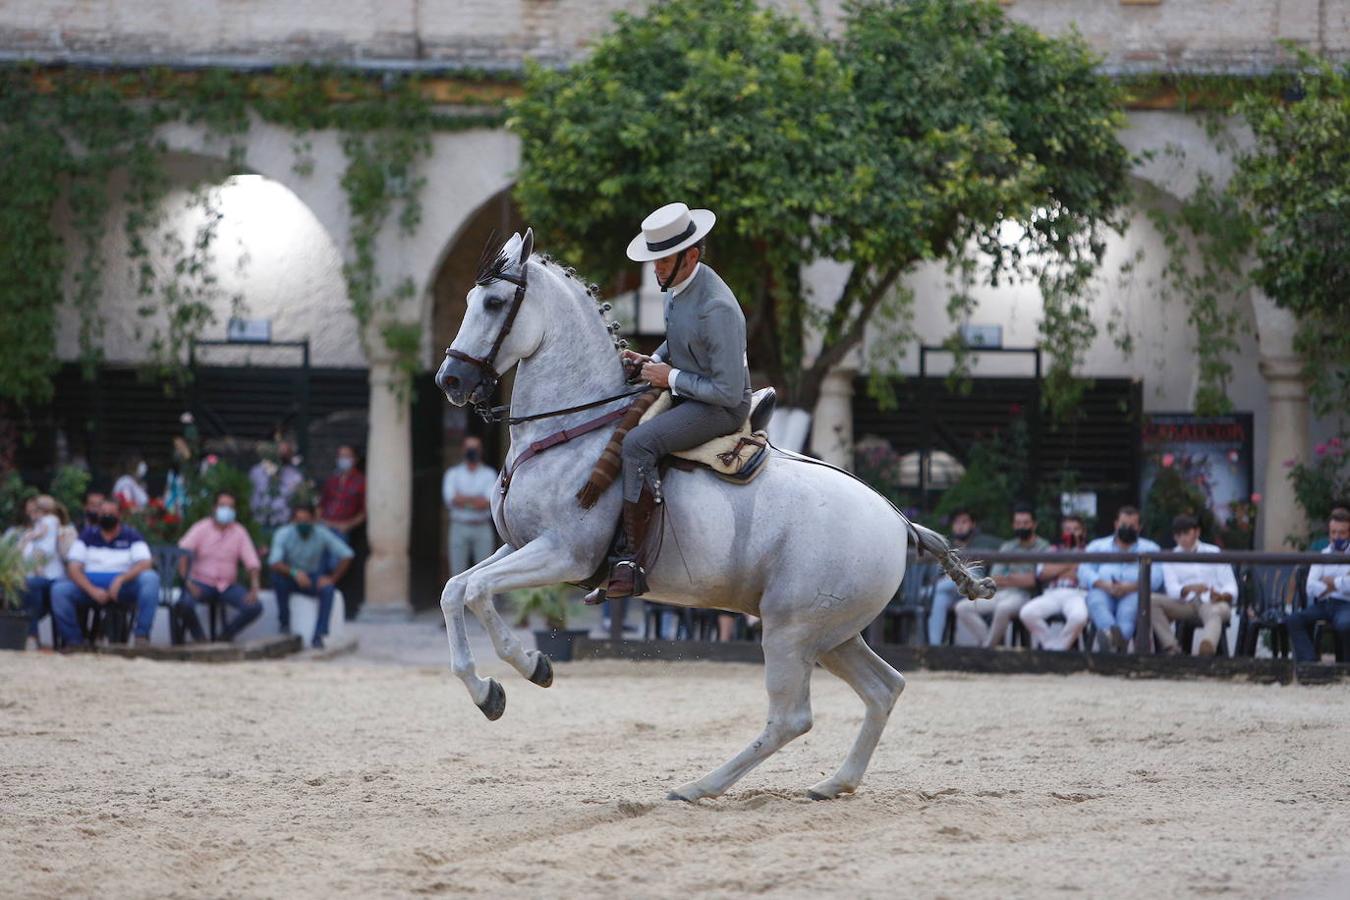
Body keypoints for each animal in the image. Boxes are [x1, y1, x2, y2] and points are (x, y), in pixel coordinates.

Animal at [434, 232, 993, 804]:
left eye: (494, 303)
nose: (450, 379)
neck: (571, 430)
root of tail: (896, 519)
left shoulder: (564, 554)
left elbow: (477, 592)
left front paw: (529, 666)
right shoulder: (518, 545)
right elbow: (456, 589)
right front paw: (489, 691)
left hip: (790, 631)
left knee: (791, 718)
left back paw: (698, 787)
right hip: (833, 635)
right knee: (884, 688)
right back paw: (834, 782)